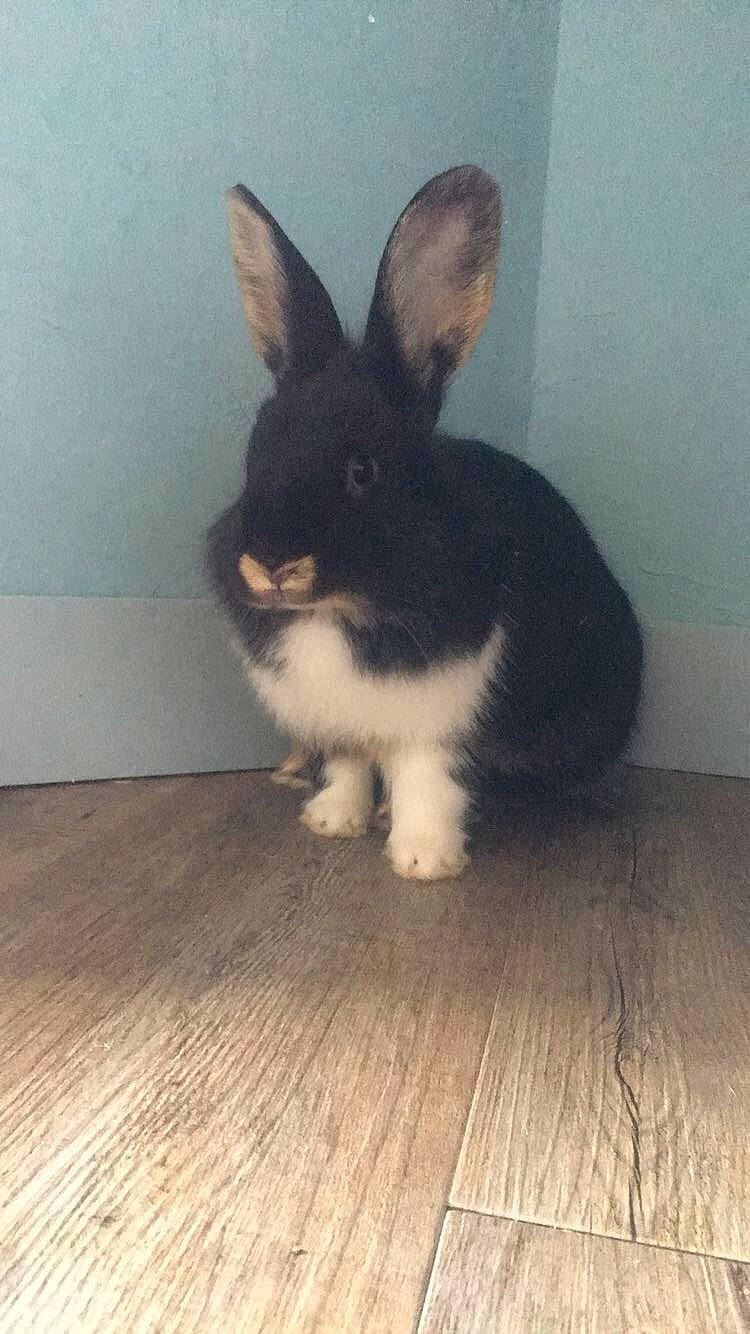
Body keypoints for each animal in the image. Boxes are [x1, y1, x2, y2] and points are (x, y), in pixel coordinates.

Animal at [208, 166, 643, 880]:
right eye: (254, 452)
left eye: (363, 470)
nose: (270, 564)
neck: (337, 611)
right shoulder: (342, 723)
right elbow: (349, 766)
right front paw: (332, 823)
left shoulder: (439, 719)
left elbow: (426, 781)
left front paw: (424, 861)